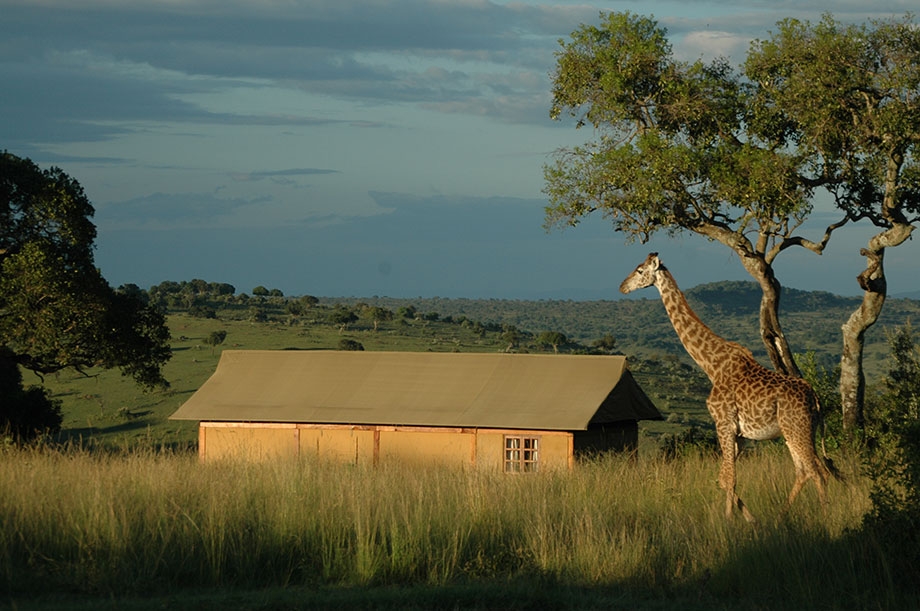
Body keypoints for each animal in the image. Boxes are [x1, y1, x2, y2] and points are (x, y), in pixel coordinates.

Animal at [620, 252, 831, 522]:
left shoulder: (723, 422)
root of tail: (815, 397)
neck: (711, 365)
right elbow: (723, 478)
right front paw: (750, 520)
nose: (622, 287)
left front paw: (728, 521)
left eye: (639, 270)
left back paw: (825, 519)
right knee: (804, 470)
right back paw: (780, 516)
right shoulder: (739, 434)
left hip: (797, 429)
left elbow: (729, 479)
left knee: (817, 472)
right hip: (794, 431)